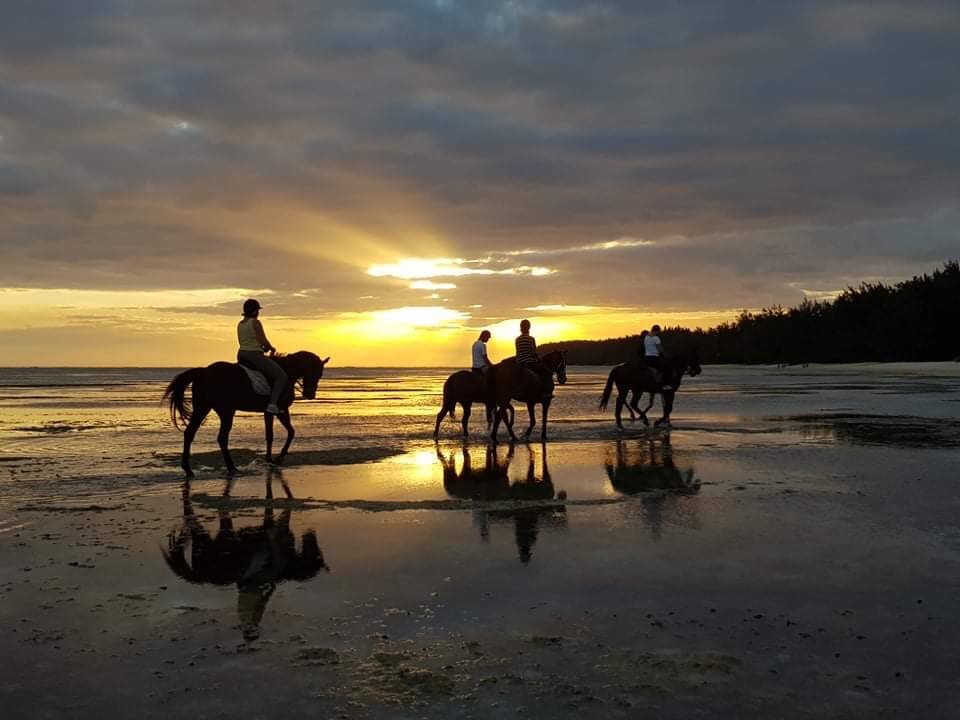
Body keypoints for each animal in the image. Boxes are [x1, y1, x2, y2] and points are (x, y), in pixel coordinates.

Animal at [163, 350, 328, 476]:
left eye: (320, 374)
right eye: (316, 372)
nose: (310, 394)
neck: (287, 371)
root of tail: (204, 371)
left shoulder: (277, 410)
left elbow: (286, 432)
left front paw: (272, 460)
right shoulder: (276, 410)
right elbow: (275, 435)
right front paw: (276, 459)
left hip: (203, 408)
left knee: (190, 433)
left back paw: (188, 470)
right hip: (225, 411)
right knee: (221, 438)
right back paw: (231, 468)